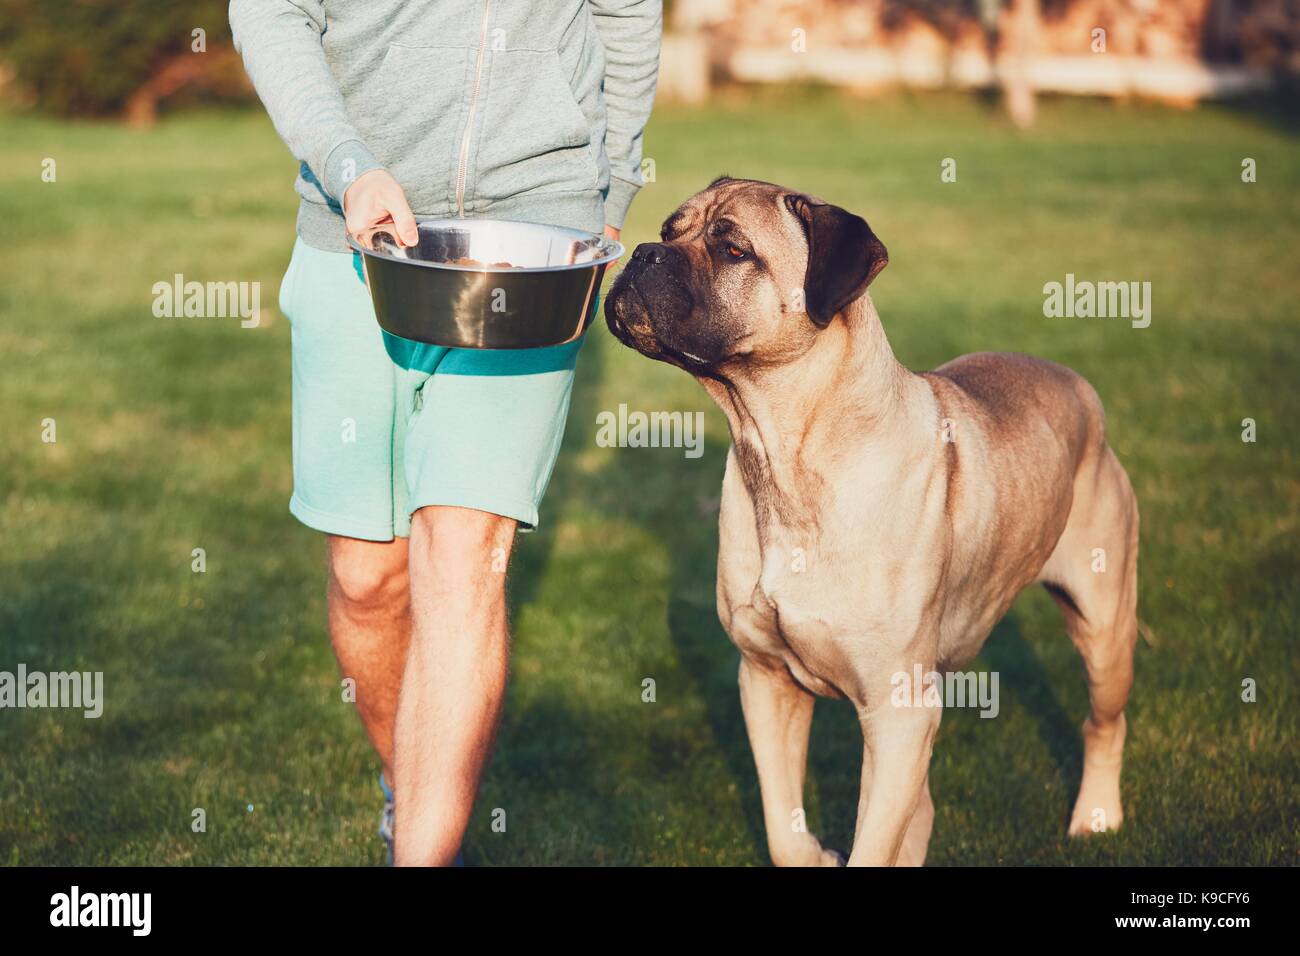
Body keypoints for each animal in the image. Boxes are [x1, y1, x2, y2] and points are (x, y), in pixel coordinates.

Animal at [600, 178, 1138, 868]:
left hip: (1103, 621)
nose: (642, 253)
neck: (782, 453)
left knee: (1104, 721)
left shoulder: (896, 708)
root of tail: (1079, 388)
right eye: (671, 231)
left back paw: (1096, 816)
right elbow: (782, 821)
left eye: (733, 249)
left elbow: (872, 842)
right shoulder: (766, 680)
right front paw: (812, 855)